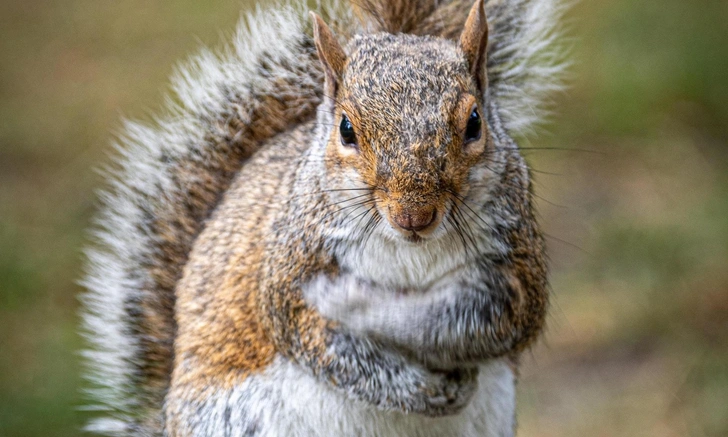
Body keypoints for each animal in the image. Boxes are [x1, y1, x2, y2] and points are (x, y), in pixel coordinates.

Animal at [81, 0, 568, 436]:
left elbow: (486, 318)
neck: (408, 249)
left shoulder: (514, 264)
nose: (413, 215)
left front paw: (358, 303)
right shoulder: (290, 267)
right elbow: (316, 339)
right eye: (346, 129)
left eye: (474, 122)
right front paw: (418, 385)